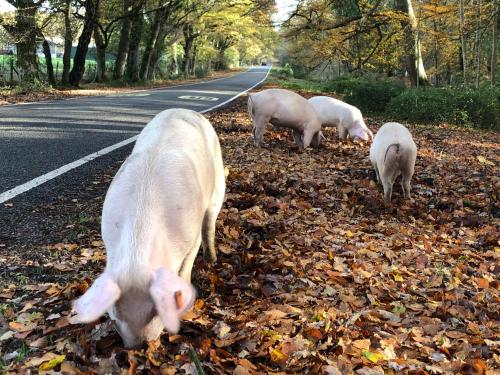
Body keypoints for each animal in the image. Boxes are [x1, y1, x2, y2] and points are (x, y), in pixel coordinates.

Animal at [69, 107, 226, 348]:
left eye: (156, 310)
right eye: (116, 314)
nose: (139, 347)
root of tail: (183, 109)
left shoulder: (191, 233)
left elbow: (187, 262)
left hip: (218, 184)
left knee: (210, 223)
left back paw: (212, 260)